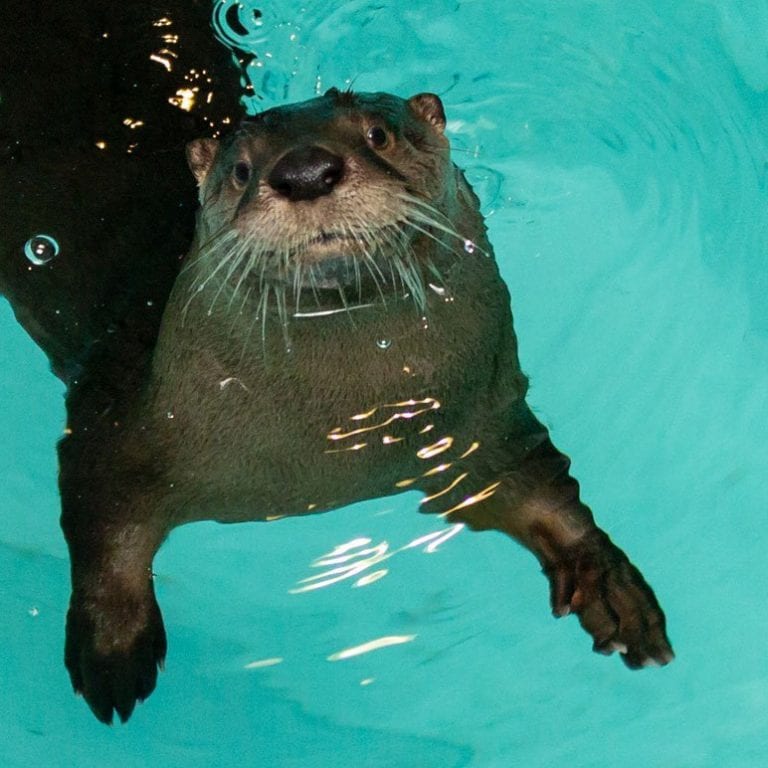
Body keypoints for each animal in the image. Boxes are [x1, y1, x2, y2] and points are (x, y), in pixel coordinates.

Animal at [15, 89, 673, 723]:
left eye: (378, 134)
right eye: (241, 169)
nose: (305, 171)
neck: (333, 445)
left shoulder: (480, 428)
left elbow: (541, 493)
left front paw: (608, 586)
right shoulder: (119, 427)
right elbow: (102, 526)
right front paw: (112, 650)